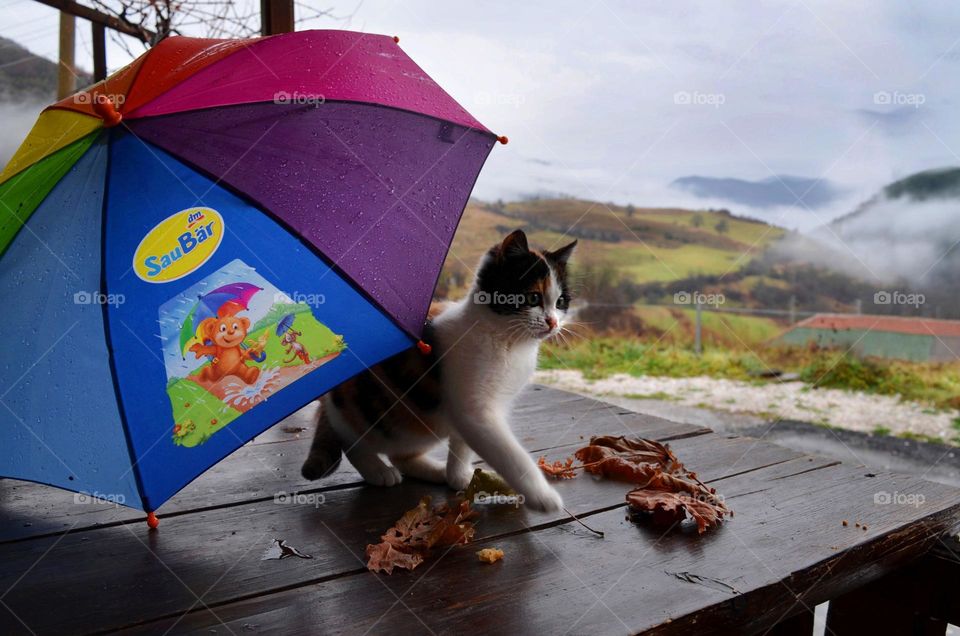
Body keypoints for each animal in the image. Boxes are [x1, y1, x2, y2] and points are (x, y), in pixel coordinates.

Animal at [300, 229, 572, 512]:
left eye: (561, 302)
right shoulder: (476, 412)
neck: (507, 341)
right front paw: (543, 497)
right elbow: (510, 455)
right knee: (352, 441)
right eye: (533, 297)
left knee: (400, 454)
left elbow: (463, 443)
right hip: (363, 410)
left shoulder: (468, 410)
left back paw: (433, 470)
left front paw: (458, 477)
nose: (552, 322)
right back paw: (376, 470)